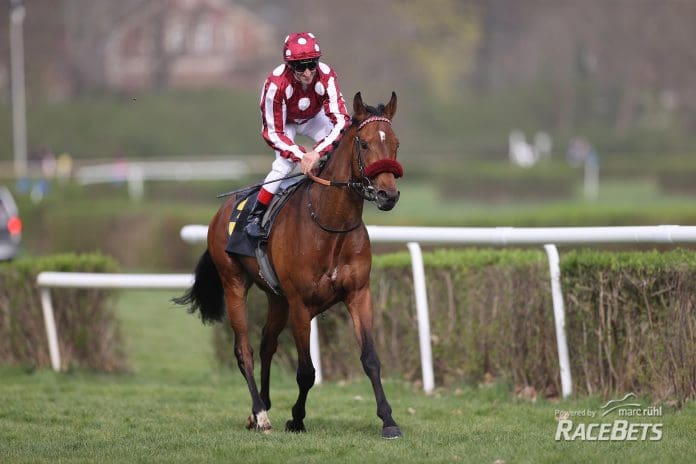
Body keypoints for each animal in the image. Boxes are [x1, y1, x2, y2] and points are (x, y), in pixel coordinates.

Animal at [173, 90, 402, 438]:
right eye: (364, 144)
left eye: (396, 144)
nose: (388, 195)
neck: (329, 224)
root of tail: (221, 211)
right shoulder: (300, 304)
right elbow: (306, 369)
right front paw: (296, 418)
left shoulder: (358, 294)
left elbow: (370, 358)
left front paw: (388, 420)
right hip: (235, 284)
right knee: (245, 351)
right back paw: (260, 413)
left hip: (276, 298)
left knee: (267, 344)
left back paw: (261, 408)